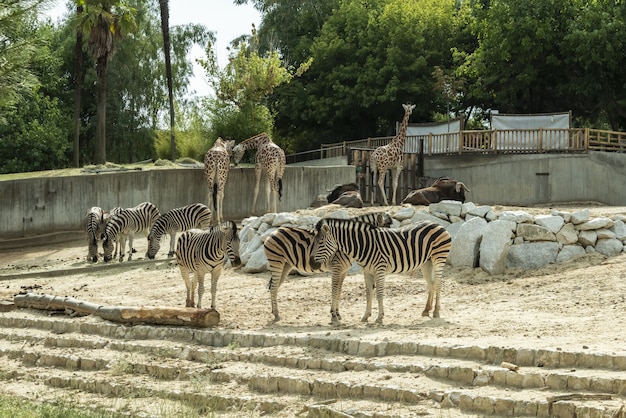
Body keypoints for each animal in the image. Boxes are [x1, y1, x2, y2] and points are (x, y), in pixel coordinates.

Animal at [262, 212, 390, 324]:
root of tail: (274, 231)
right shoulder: (337, 267)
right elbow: (334, 289)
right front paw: (333, 315)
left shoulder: (344, 270)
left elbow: (339, 290)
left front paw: (337, 313)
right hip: (277, 262)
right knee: (274, 287)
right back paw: (277, 314)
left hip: (286, 265)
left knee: (274, 287)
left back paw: (274, 312)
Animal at [308, 217, 448, 324]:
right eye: (314, 242)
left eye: (320, 243)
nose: (311, 263)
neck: (363, 245)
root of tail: (437, 223)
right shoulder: (367, 271)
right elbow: (369, 293)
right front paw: (365, 316)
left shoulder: (380, 269)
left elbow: (379, 293)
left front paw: (380, 317)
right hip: (426, 263)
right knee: (431, 285)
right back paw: (426, 310)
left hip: (438, 258)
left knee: (438, 284)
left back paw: (436, 312)